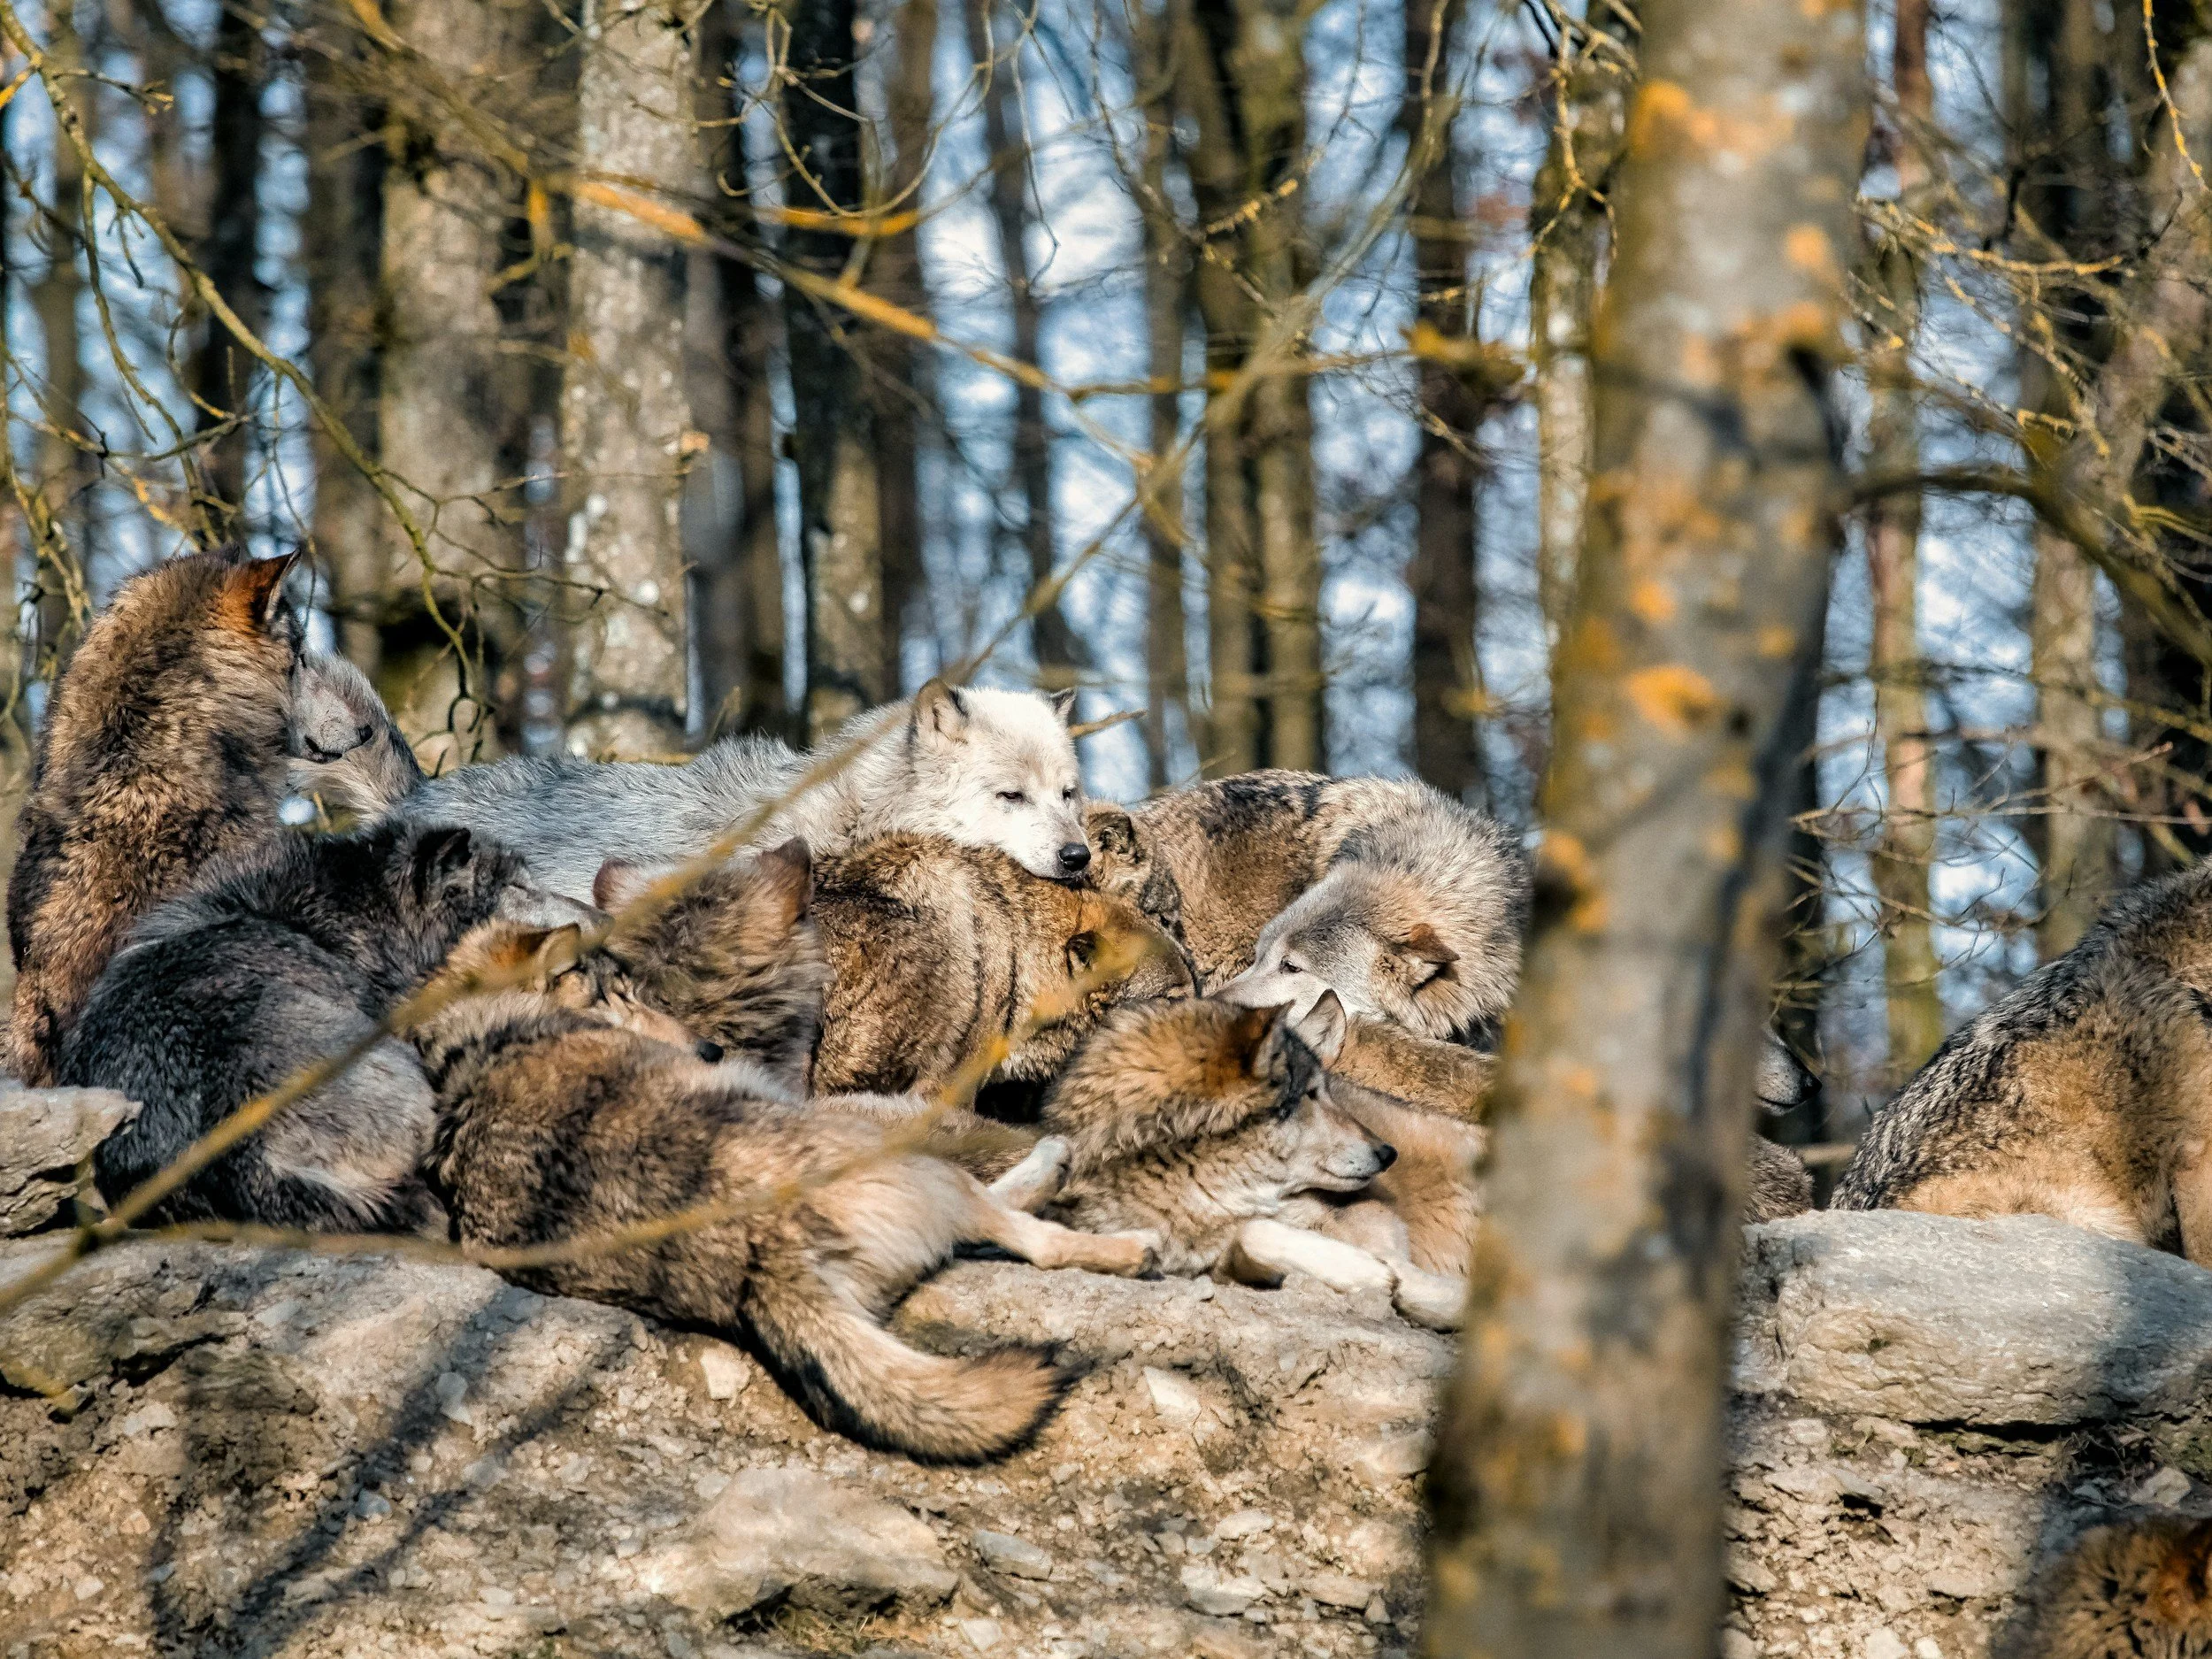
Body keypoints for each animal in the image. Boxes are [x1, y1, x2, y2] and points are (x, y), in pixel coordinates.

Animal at [406, 920, 1155, 1462]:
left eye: (634, 992)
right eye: (615, 997)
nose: (709, 1050)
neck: (489, 1032)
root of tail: (766, 1258)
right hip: (886, 1149)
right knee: (1028, 1231)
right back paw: (1105, 1217)